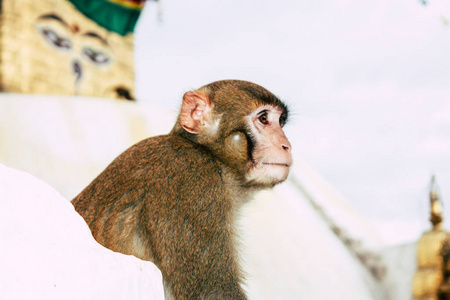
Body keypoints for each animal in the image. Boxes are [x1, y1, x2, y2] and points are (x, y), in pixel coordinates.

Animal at [72, 79, 294, 300]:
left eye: (280, 122)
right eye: (264, 119)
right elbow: (211, 292)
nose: (287, 146)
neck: (211, 155)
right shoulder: (194, 181)